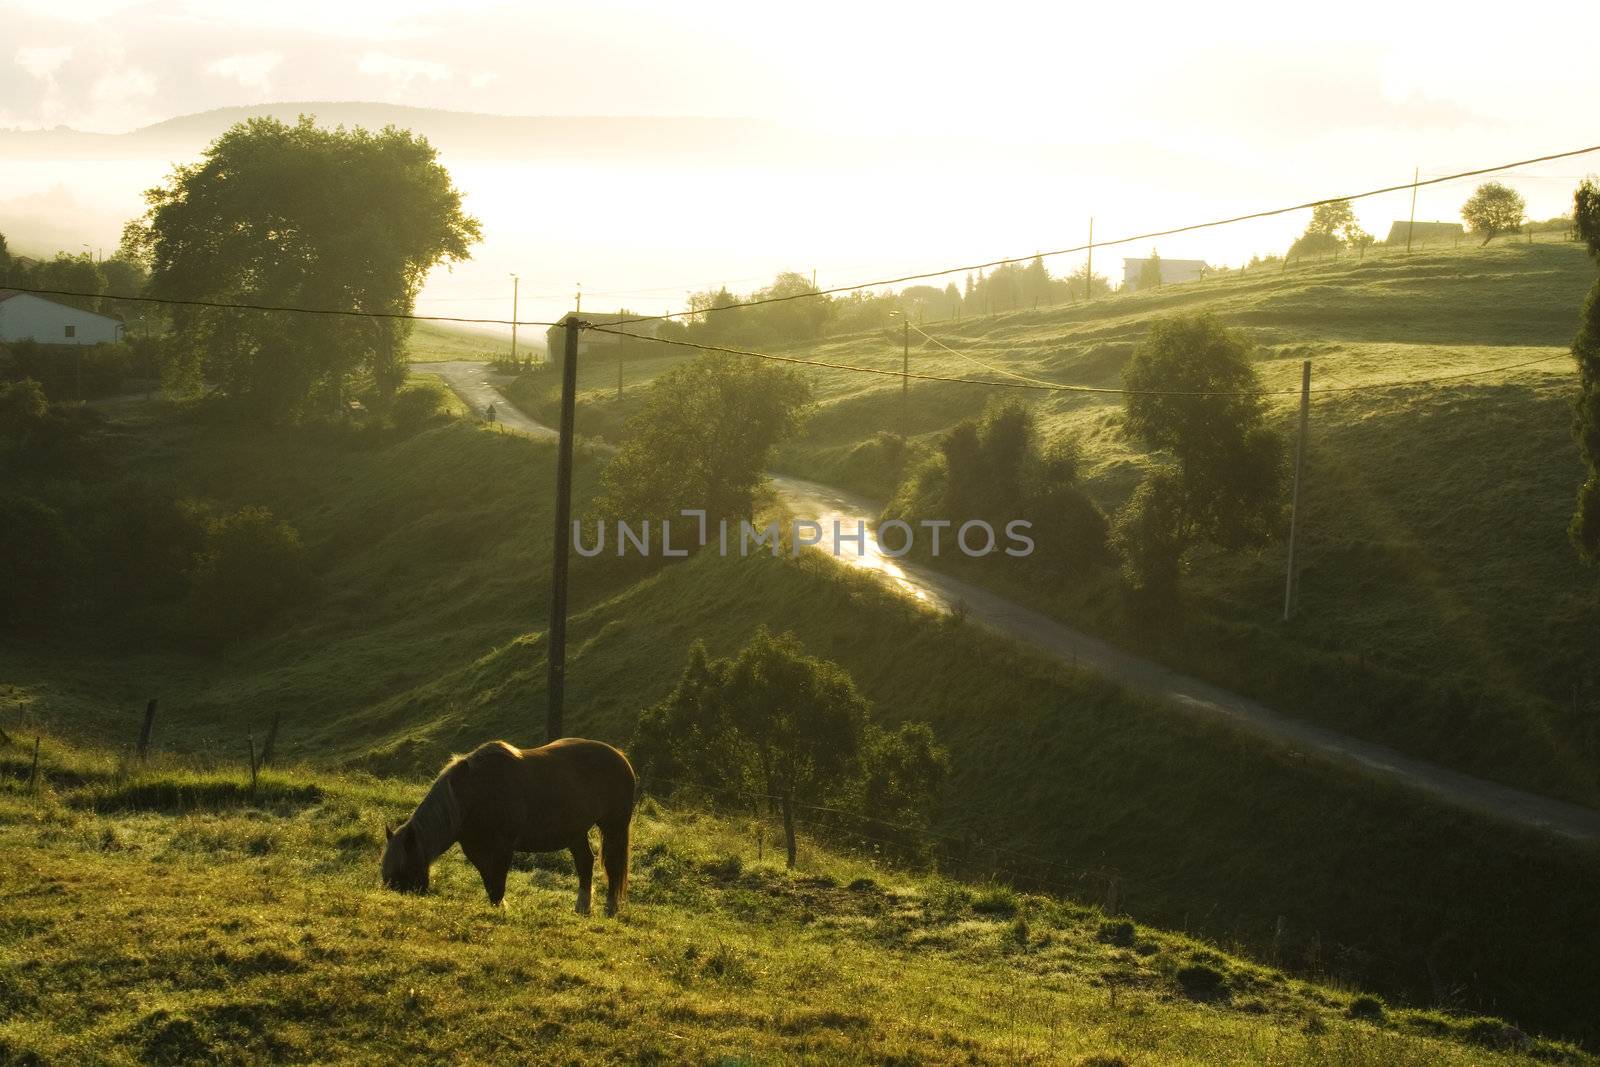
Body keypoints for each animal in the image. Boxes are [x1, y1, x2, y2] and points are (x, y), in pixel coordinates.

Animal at [382, 742, 636, 921]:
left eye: (404, 870)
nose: (391, 896)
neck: (472, 794)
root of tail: (620, 756)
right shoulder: (477, 850)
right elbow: (490, 883)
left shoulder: (503, 848)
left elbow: (498, 883)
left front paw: (501, 912)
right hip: (576, 832)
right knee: (585, 863)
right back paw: (582, 908)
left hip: (613, 827)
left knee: (613, 866)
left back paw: (610, 908)